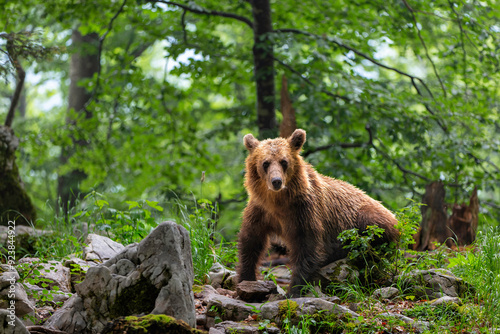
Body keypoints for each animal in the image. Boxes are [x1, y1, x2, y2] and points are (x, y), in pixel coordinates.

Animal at [237, 129, 398, 296]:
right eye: (265, 163)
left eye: (284, 162)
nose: (276, 181)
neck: (278, 203)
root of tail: (395, 217)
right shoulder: (261, 211)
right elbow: (251, 241)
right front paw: (246, 278)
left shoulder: (304, 211)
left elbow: (307, 247)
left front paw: (294, 289)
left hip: (366, 218)